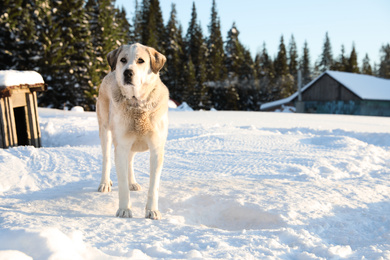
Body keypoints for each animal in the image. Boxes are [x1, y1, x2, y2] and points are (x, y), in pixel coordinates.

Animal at [96, 42, 168, 219]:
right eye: (123, 59)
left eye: (141, 60)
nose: (127, 72)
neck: (137, 105)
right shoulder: (121, 145)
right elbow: (121, 185)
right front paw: (124, 210)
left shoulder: (156, 148)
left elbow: (154, 186)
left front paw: (152, 211)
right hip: (105, 130)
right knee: (106, 158)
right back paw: (104, 183)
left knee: (130, 160)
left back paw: (132, 183)